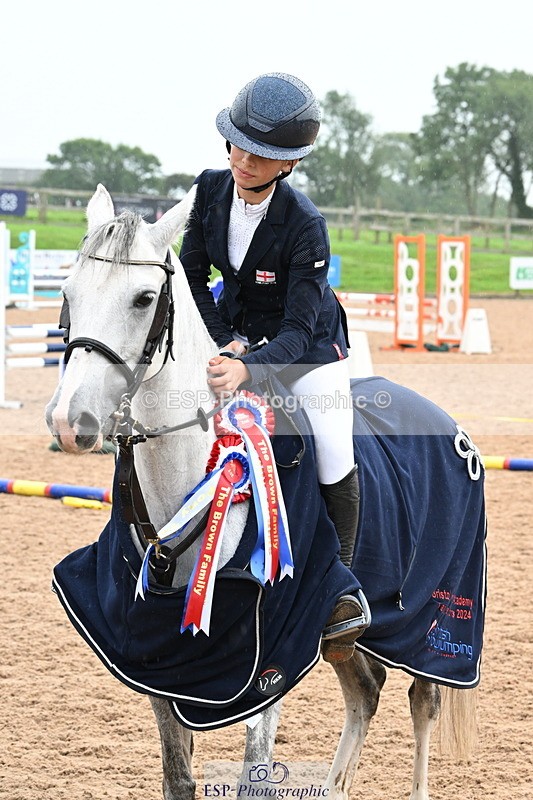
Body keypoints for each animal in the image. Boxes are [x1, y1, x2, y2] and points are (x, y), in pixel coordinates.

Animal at [46, 184, 486, 800]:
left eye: (144, 298)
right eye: (67, 293)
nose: (70, 422)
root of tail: (451, 426)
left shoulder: (268, 655)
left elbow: (254, 773)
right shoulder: (159, 657)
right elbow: (178, 775)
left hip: (433, 623)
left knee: (423, 700)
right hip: (355, 634)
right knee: (365, 692)